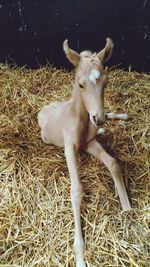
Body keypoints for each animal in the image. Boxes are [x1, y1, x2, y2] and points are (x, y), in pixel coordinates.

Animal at [38, 38, 131, 267]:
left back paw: (118, 119)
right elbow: (76, 190)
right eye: (80, 84)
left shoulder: (89, 143)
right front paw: (80, 255)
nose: (98, 118)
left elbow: (113, 163)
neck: (79, 118)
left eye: (105, 82)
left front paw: (127, 208)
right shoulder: (71, 148)